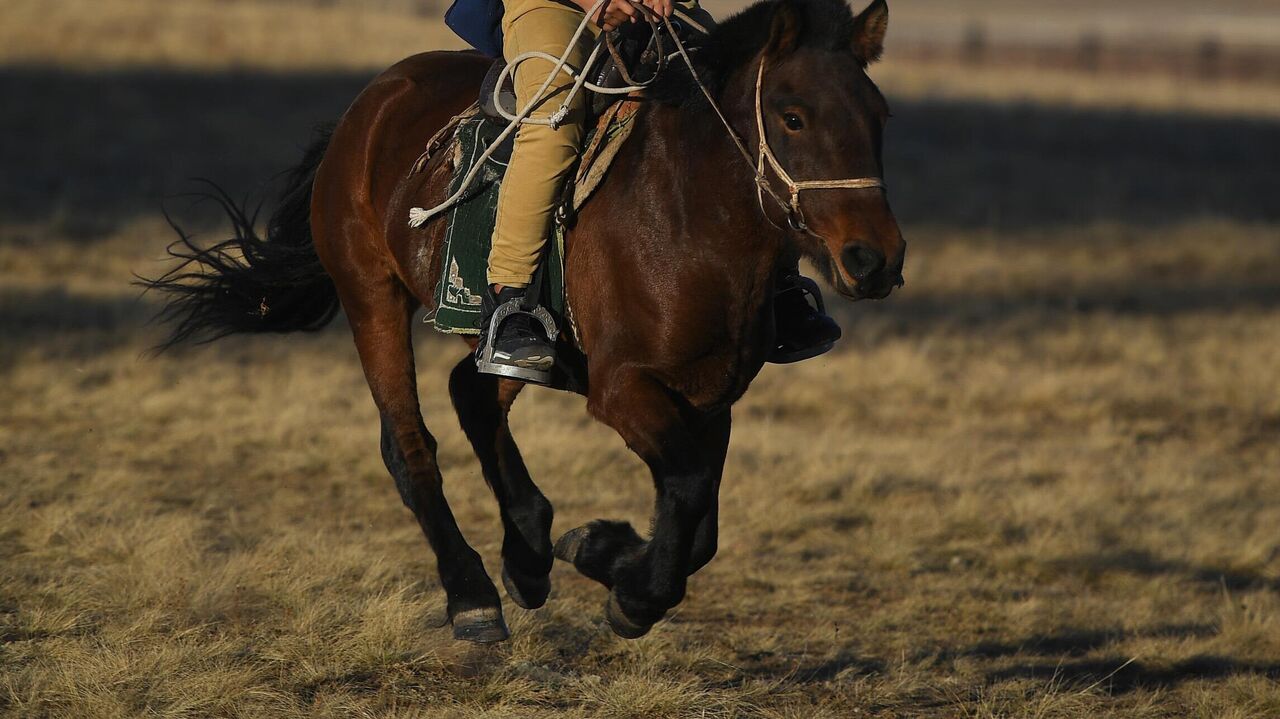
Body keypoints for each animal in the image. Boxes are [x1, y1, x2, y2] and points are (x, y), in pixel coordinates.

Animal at [147, 0, 911, 644]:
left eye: (879, 115)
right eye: (792, 116)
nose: (874, 259)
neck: (688, 212)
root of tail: (372, 103)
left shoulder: (710, 393)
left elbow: (699, 521)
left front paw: (598, 551)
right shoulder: (623, 390)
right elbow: (691, 492)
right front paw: (631, 592)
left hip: (514, 347)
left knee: (475, 392)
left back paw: (529, 552)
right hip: (372, 299)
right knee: (410, 446)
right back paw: (472, 595)